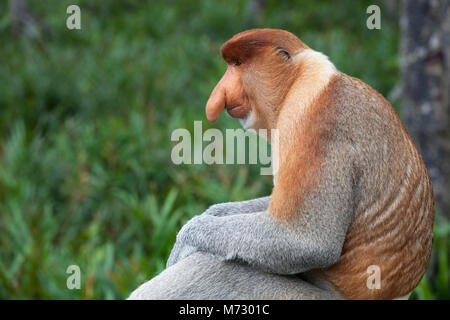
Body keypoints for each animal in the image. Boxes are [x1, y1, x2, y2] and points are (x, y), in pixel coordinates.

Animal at [129, 28, 432, 300]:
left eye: (238, 64)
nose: (217, 96)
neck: (299, 80)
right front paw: (211, 213)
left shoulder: (312, 124)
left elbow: (305, 240)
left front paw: (186, 239)